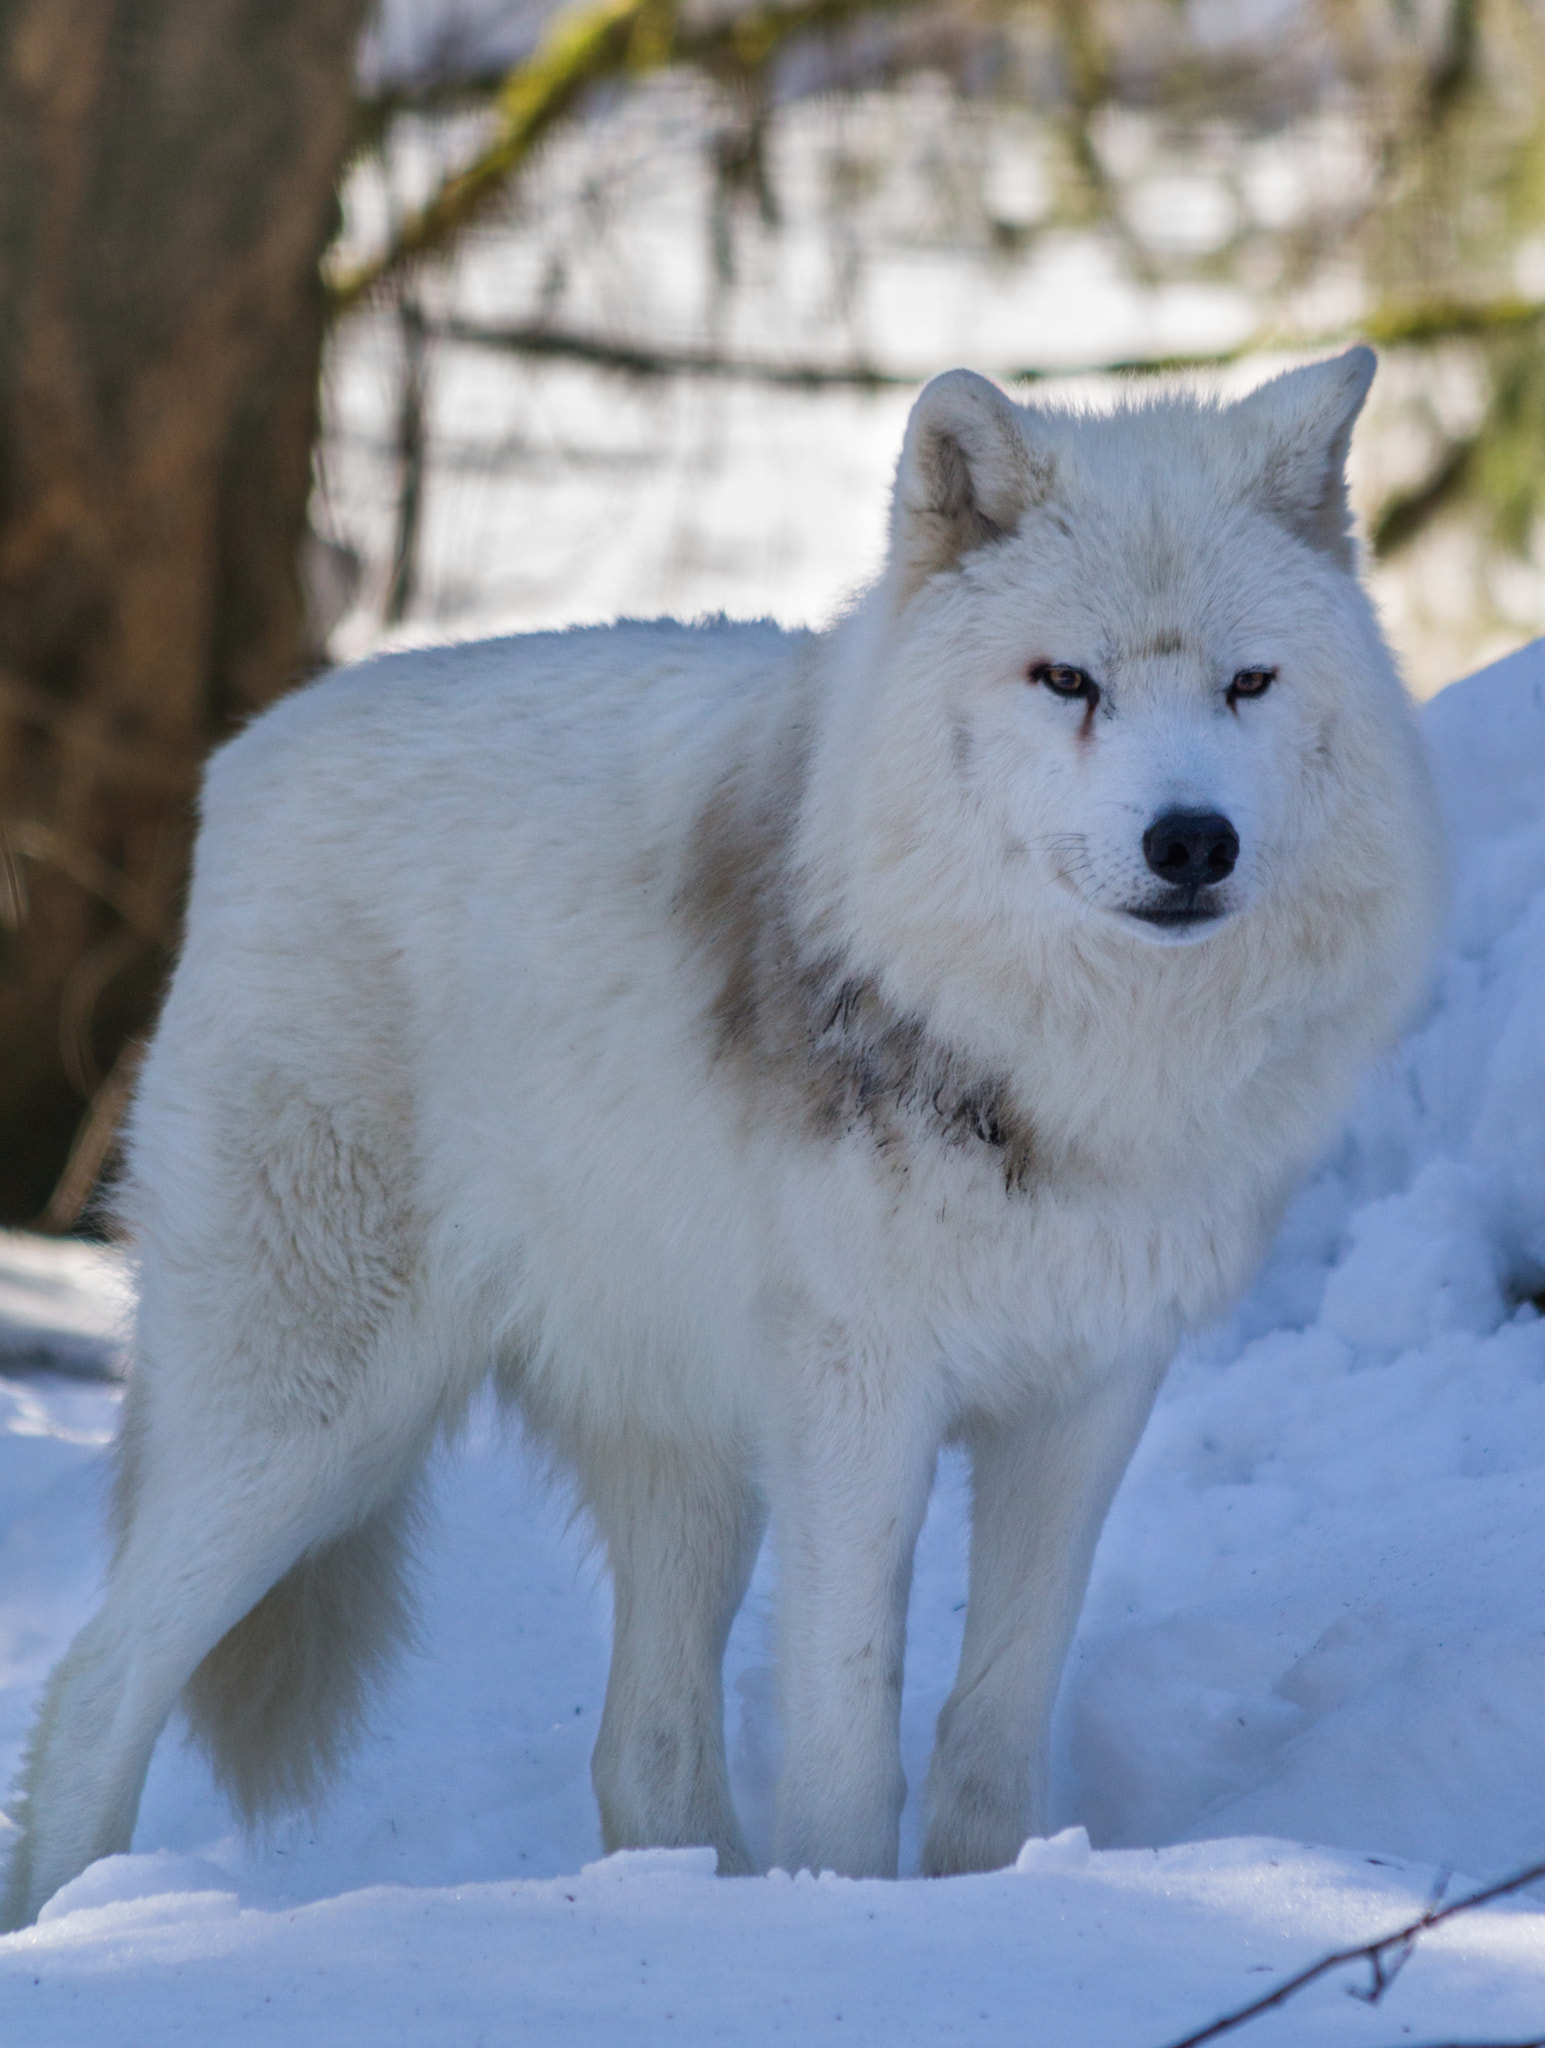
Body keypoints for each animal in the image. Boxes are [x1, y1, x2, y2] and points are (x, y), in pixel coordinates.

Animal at [2, 349, 1442, 1926]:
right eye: (1068, 680)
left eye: (1249, 683)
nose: (1192, 840)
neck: (1071, 1056)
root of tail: (246, 759)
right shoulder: (862, 1394)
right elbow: (848, 1723)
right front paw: (854, 1915)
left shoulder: (1083, 1398)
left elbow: (993, 1725)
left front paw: (987, 1905)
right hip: (312, 1416)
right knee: (96, 1679)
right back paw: (79, 1920)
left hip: (681, 1455)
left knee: (641, 1748)